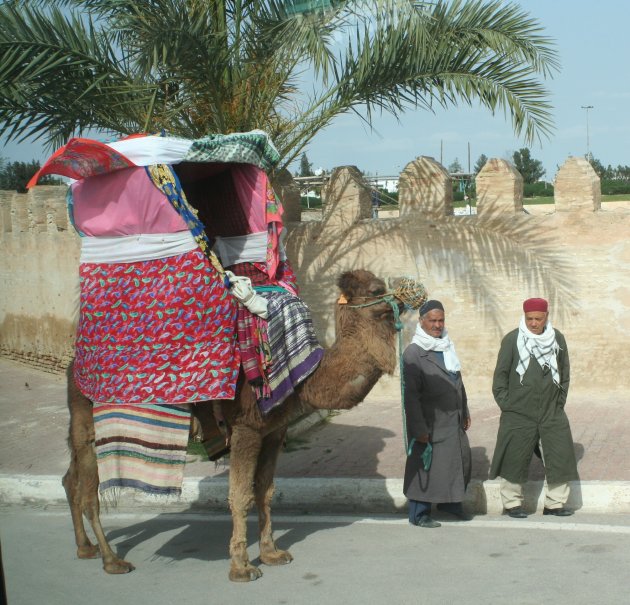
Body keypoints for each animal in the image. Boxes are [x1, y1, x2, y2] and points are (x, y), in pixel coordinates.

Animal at [63, 268, 404, 580]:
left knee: (72, 479)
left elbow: (265, 490)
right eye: (377, 289)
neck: (302, 375)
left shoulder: (274, 431)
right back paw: (112, 560)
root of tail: (72, 367)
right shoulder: (246, 428)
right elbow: (240, 494)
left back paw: (84, 548)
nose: (404, 295)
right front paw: (241, 567)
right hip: (92, 426)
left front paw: (271, 553)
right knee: (90, 494)